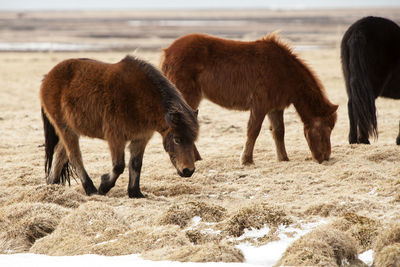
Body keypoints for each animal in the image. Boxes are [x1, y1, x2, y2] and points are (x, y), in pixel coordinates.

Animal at [40, 55, 200, 198]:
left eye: (193, 139)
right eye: (177, 139)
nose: (188, 171)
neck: (139, 98)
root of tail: (48, 77)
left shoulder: (140, 139)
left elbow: (136, 164)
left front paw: (135, 193)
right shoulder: (115, 138)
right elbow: (119, 166)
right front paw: (104, 186)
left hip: (71, 130)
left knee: (60, 155)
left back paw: (52, 185)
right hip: (65, 129)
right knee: (75, 157)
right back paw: (90, 189)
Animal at [161, 33, 336, 165]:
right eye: (326, 129)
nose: (326, 157)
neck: (284, 70)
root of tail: (168, 52)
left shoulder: (275, 108)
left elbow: (279, 131)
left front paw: (283, 158)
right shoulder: (260, 105)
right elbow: (253, 130)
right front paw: (246, 160)